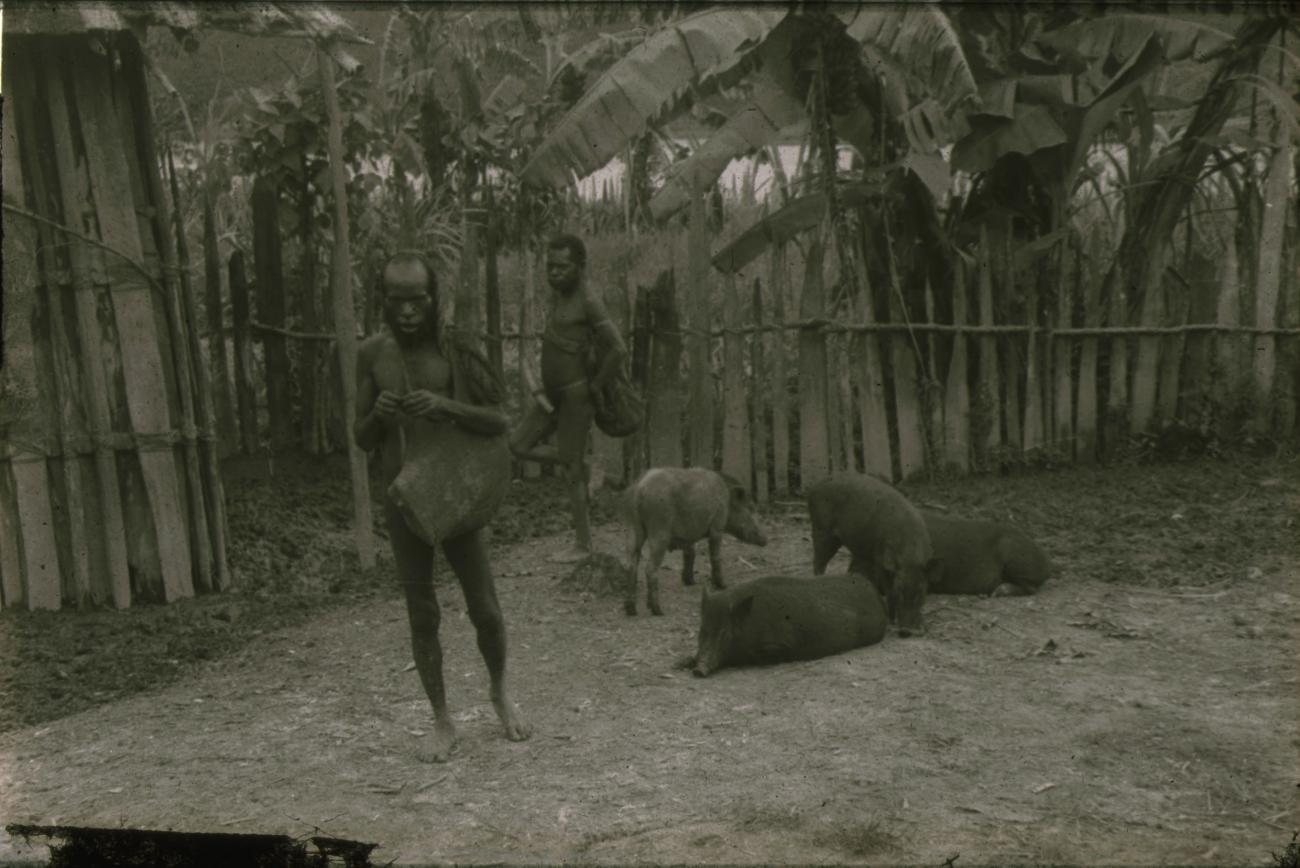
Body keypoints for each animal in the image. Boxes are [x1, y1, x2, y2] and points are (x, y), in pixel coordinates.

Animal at [621, 467, 764, 615]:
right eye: (750, 507)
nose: (765, 540)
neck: (727, 500)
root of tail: (639, 488)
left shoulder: (688, 535)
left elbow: (690, 553)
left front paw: (690, 582)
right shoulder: (717, 527)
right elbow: (715, 556)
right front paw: (724, 586)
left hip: (632, 526)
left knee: (630, 565)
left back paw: (631, 610)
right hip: (659, 530)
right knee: (650, 569)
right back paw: (658, 611)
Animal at [800, 475, 935, 636]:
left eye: (922, 592)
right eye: (899, 590)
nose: (907, 630)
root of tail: (813, 489)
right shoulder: (880, 559)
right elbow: (888, 590)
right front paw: (890, 621)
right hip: (821, 530)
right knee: (818, 562)